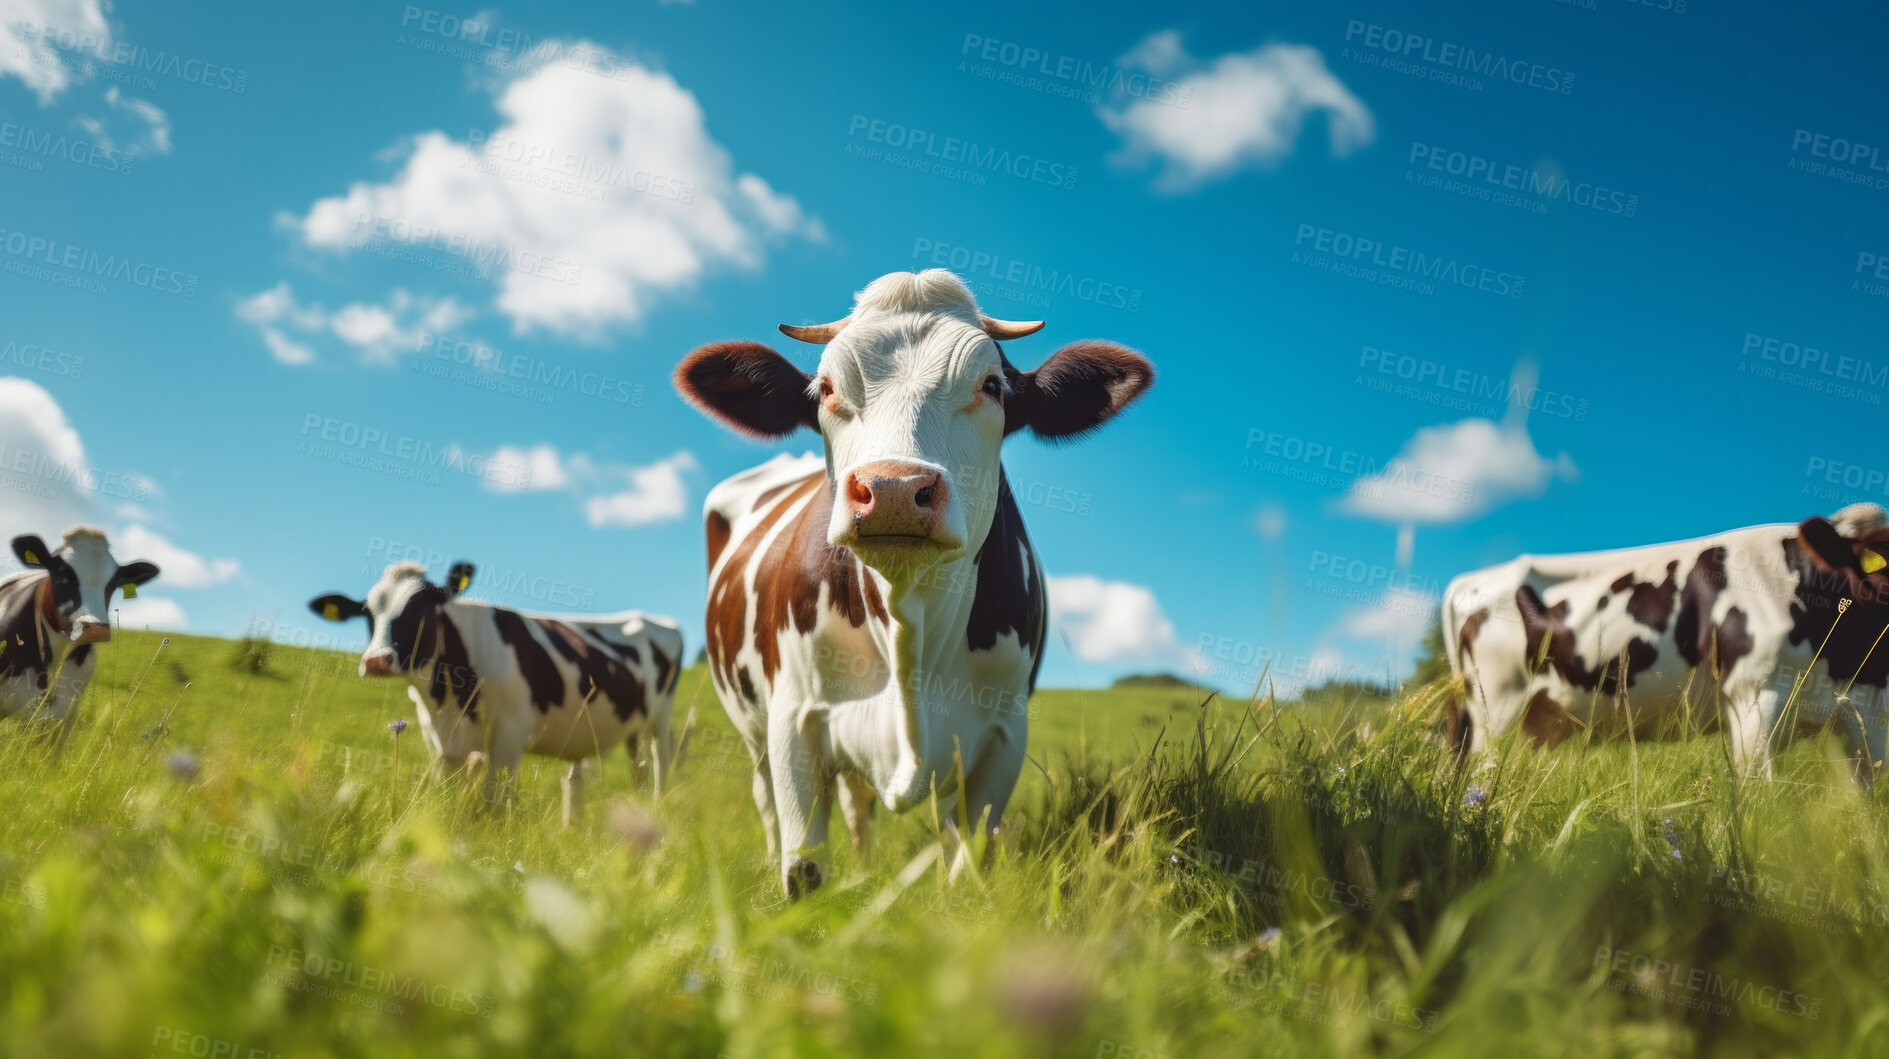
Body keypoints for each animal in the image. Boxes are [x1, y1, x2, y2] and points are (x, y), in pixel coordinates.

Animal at [309, 562, 687, 819]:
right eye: (367, 613)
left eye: (426, 607)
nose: (376, 660)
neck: (447, 698)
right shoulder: (439, 738)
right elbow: (445, 790)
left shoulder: (510, 729)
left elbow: (495, 799)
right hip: (633, 724)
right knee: (638, 764)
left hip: (661, 714)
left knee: (661, 757)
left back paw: (658, 804)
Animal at [672, 266, 1156, 890]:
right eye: (826, 388)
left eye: (992, 386)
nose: (894, 489)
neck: (910, 627)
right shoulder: (793, 722)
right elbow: (803, 868)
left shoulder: (1003, 737)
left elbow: (967, 863)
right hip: (753, 730)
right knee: (770, 802)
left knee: (859, 803)